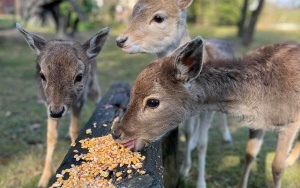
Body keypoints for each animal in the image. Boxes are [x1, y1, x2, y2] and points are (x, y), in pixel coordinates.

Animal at [15, 22, 109, 187]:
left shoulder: (80, 101)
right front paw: (43, 179)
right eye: (42, 75)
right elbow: (51, 136)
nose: (57, 111)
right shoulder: (47, 105)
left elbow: (74, 130)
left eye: (79, 76)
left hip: (93, 88)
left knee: (97, 96)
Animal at [112, 35, 300, 188]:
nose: (117, 133)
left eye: (152, 102)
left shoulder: (291, 122)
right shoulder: (257, 124)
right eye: (131, 92)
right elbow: (249, 155)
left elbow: (276, 167)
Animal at [115, 0, 234, 186]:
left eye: (159, 17)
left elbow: (203, 143)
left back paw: (227, 137)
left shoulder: (207, 106)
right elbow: (188, 132)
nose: (120, 40)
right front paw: (185, 169)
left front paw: (200, 183)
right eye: (133, 11)